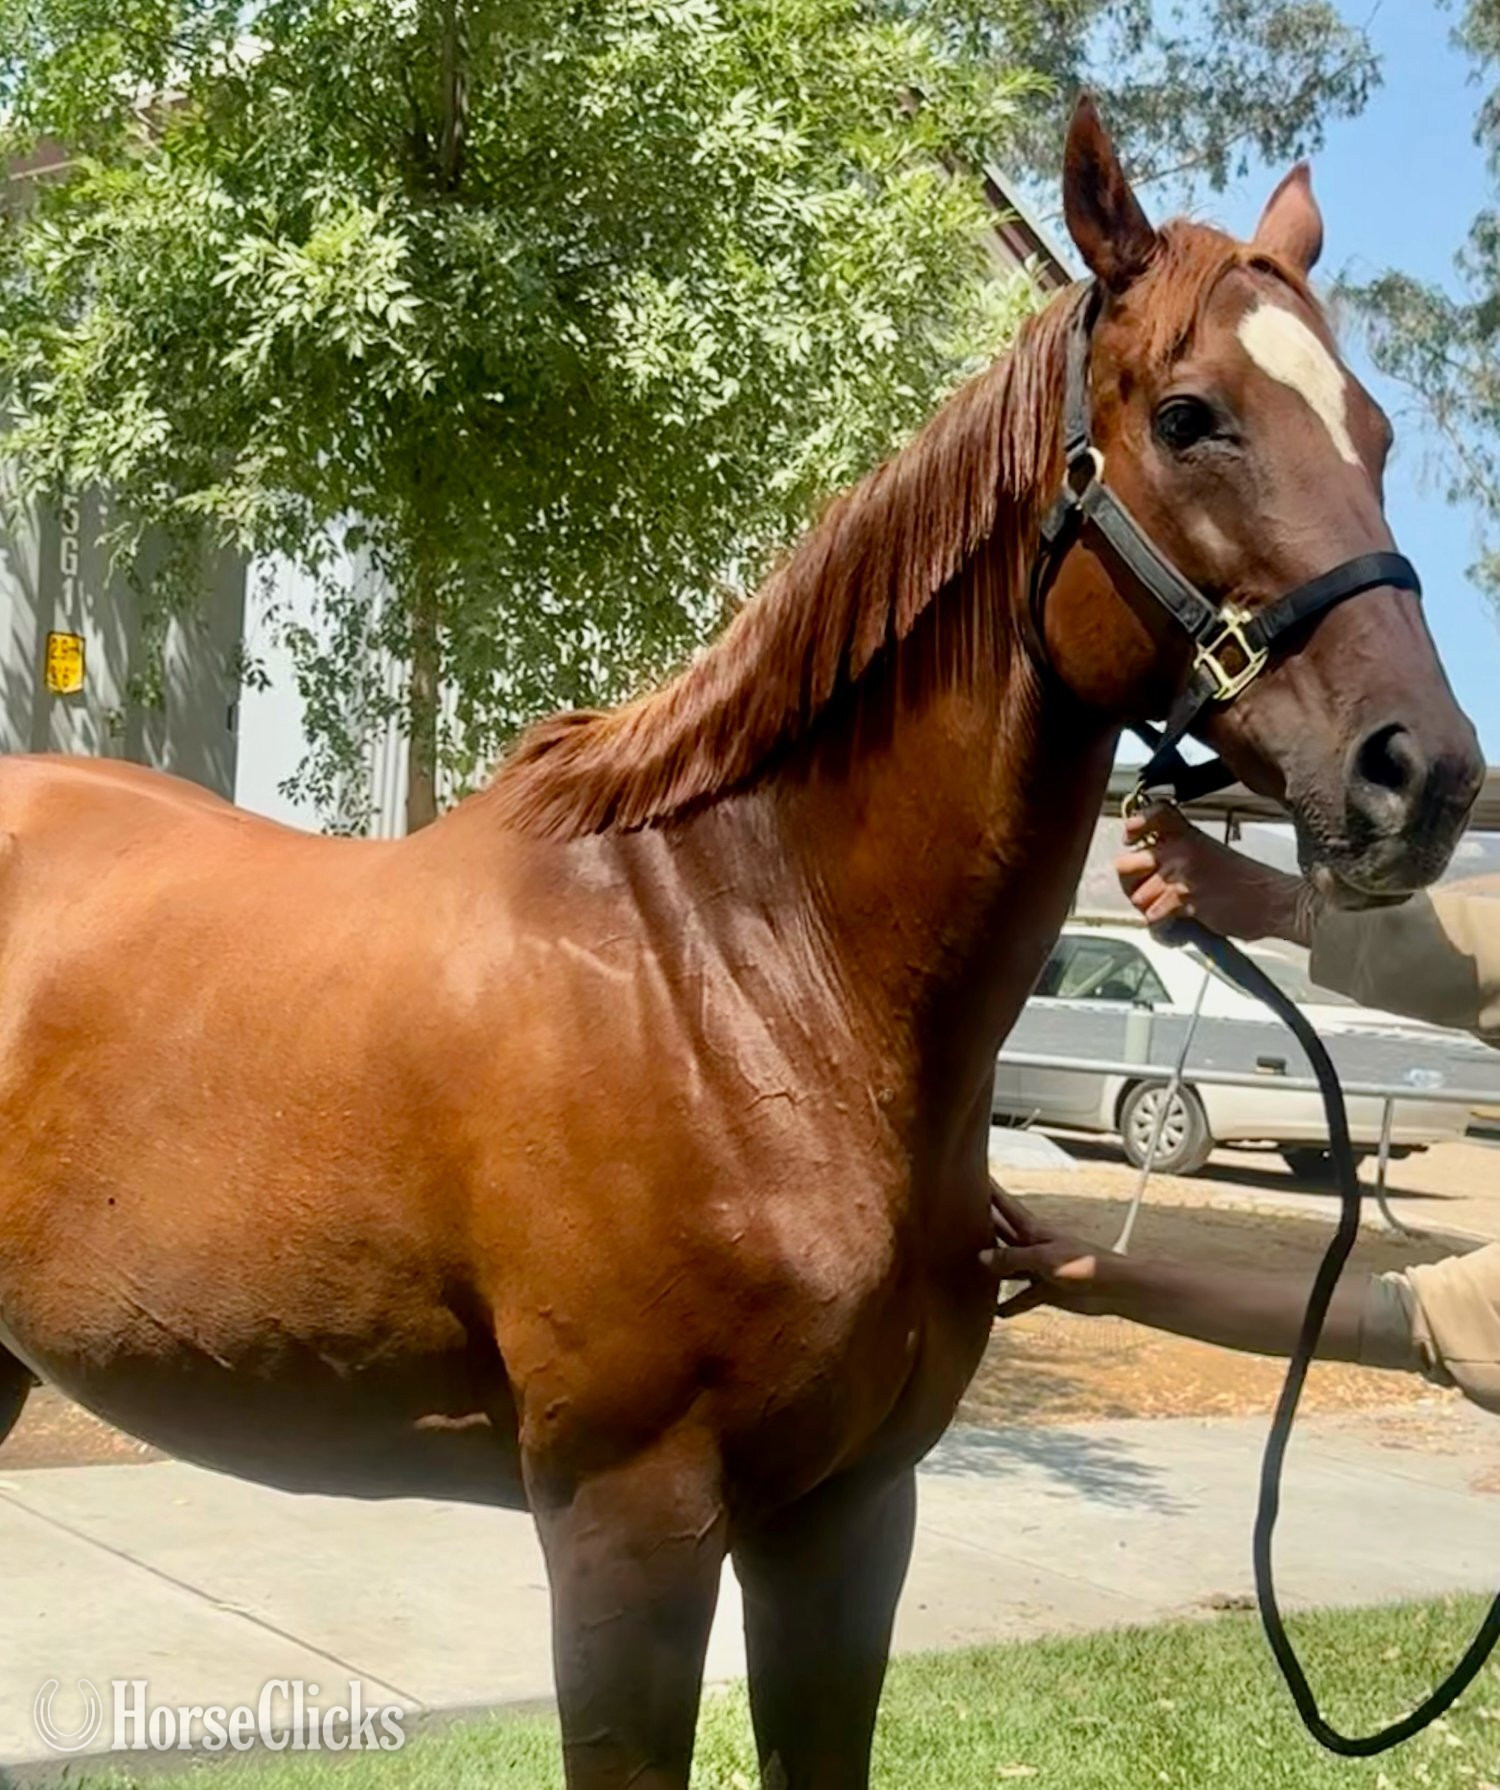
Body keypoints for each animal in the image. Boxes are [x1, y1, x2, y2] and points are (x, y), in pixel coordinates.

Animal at [0, 97, 1482, 1790]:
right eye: (1190, 416)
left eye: (1373, 432)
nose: (1423, 775)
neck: (752, 980)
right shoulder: (628, 1517)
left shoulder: (848, 1514)